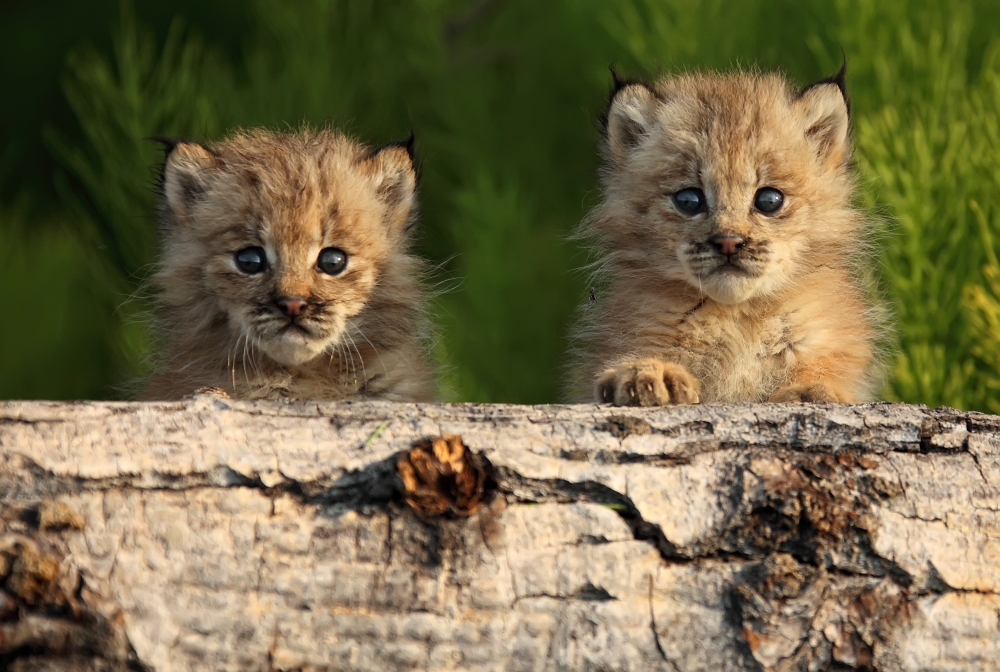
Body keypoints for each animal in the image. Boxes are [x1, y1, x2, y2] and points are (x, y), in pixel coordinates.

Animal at [576, 68, 880, 404]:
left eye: (769, 200)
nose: (728, 243)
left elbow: (825, 367)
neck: (737, 317)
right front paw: (647, 371)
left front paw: (814, 388)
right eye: (689, 200)